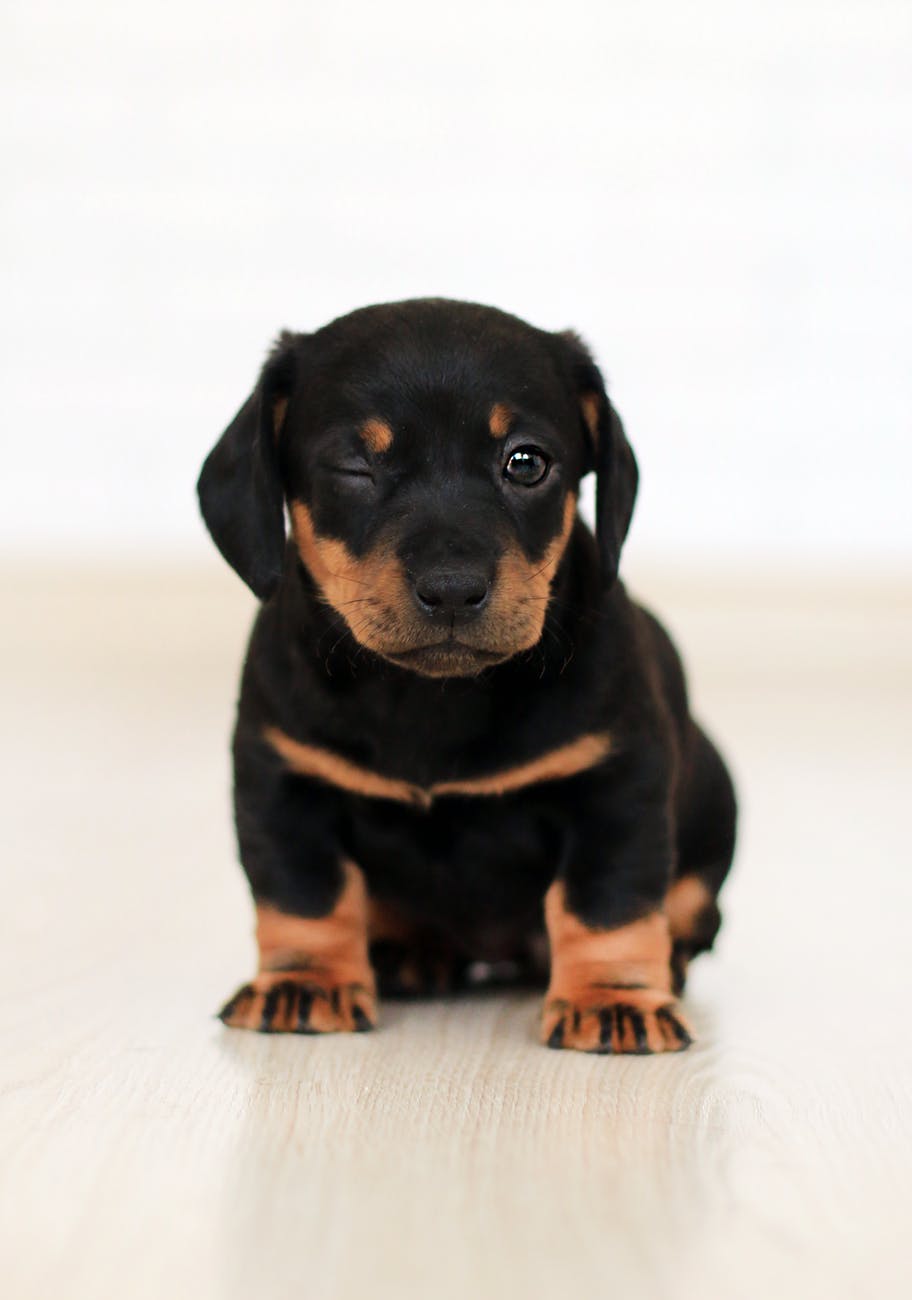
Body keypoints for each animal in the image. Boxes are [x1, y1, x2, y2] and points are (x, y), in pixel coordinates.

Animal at [198, 299, 737, 1050]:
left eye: (526, 462)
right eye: (354, 466)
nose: (452, 590)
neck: (432, 699)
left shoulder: (617, 784)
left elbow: (608, 902)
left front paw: (612, 999)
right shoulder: (282, 782)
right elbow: (305, 895)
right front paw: (305, 983)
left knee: (691, 913)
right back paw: (405, 954)